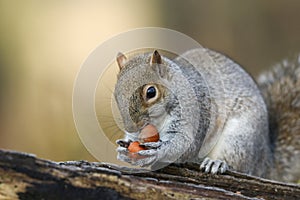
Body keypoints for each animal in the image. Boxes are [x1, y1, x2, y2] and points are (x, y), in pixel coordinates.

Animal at [113, 48, 300, 183]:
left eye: (151, 92)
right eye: (116, 94)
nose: (131, 127)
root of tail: (266, 160)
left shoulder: (197, 113)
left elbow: (187, 145)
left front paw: (156, 152)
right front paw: (125, 147)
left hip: (240, 137)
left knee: (239, 164)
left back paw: (217, 163)